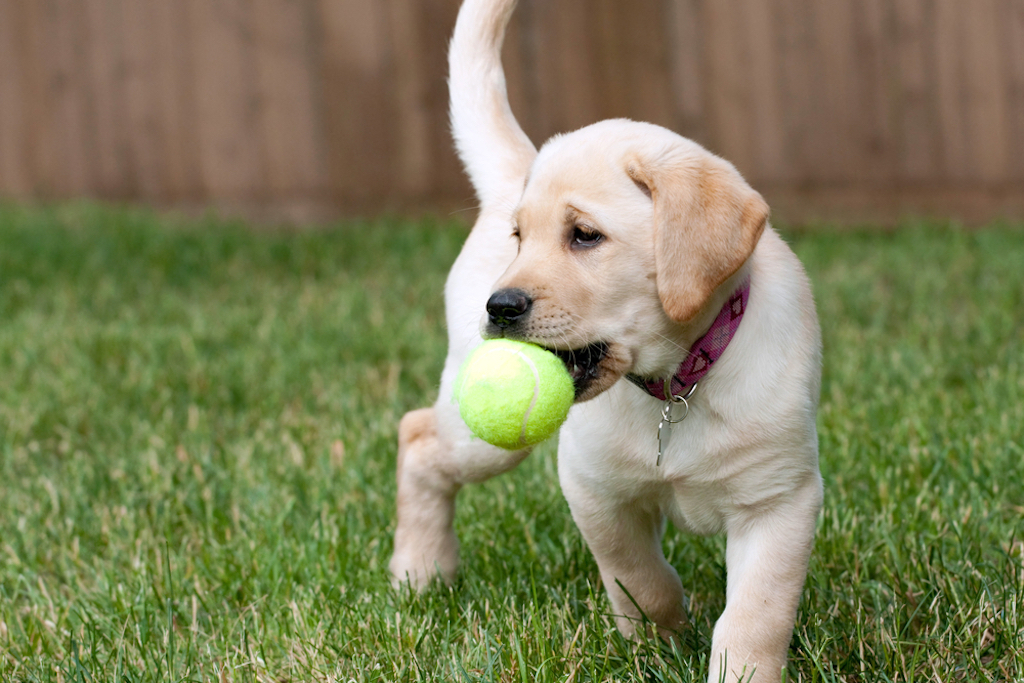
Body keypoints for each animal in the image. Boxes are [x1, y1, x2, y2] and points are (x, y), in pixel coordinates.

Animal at [391, 2, 823, 679]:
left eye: (585, 235)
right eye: (520, 237)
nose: (500, 306)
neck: (676, 383)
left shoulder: (779, 501)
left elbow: (755, 616)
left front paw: (734, 666)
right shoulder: (595, 489)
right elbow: (638, 577)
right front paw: (660, 638)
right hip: (481, 438)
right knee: (417, 437)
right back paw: (422, 570)